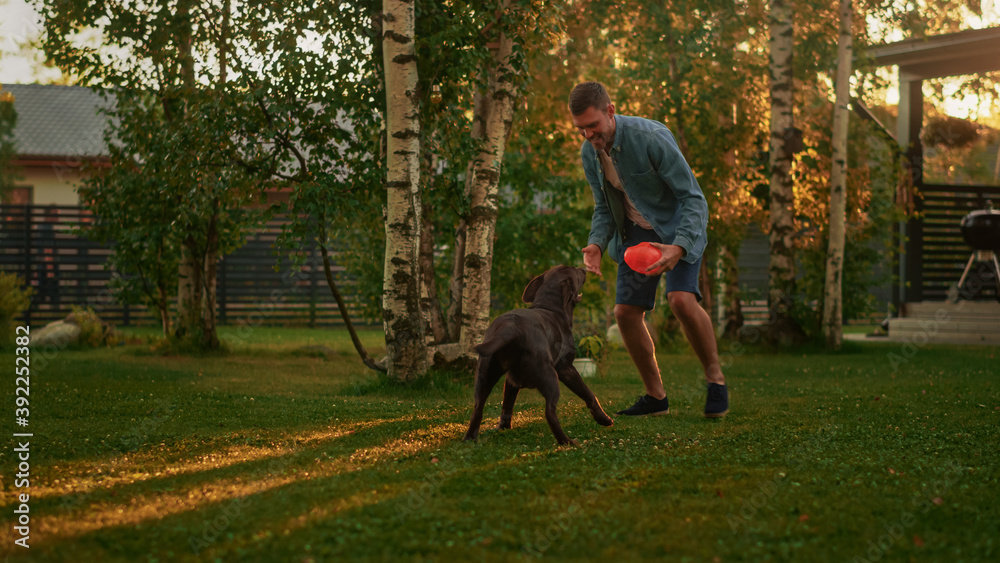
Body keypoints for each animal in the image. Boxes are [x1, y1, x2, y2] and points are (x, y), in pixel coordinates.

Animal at [462, 266, 616, 448]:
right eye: (573, 270)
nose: (584, 268)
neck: (550, 307)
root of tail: (510, 327)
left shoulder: (512, 380)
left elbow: (507, 404)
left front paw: (504, 427)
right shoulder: (566, 368)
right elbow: (588, 393)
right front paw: (604, 419)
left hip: (484, 377)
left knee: (477, 408)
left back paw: (470, 438)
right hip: (550, 377)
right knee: (550, 412)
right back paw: (567, 441)